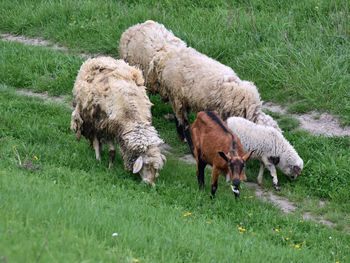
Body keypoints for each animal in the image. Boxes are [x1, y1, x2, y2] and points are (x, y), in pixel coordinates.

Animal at [70, 56, 166, 185]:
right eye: (146, 164)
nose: (150, 184)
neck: (130, 115)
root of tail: (98, 58)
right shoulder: (109, 127)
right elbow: (112, 152)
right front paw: (110, 167)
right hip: (92, 120)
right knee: (95, 140)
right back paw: (98, 157)